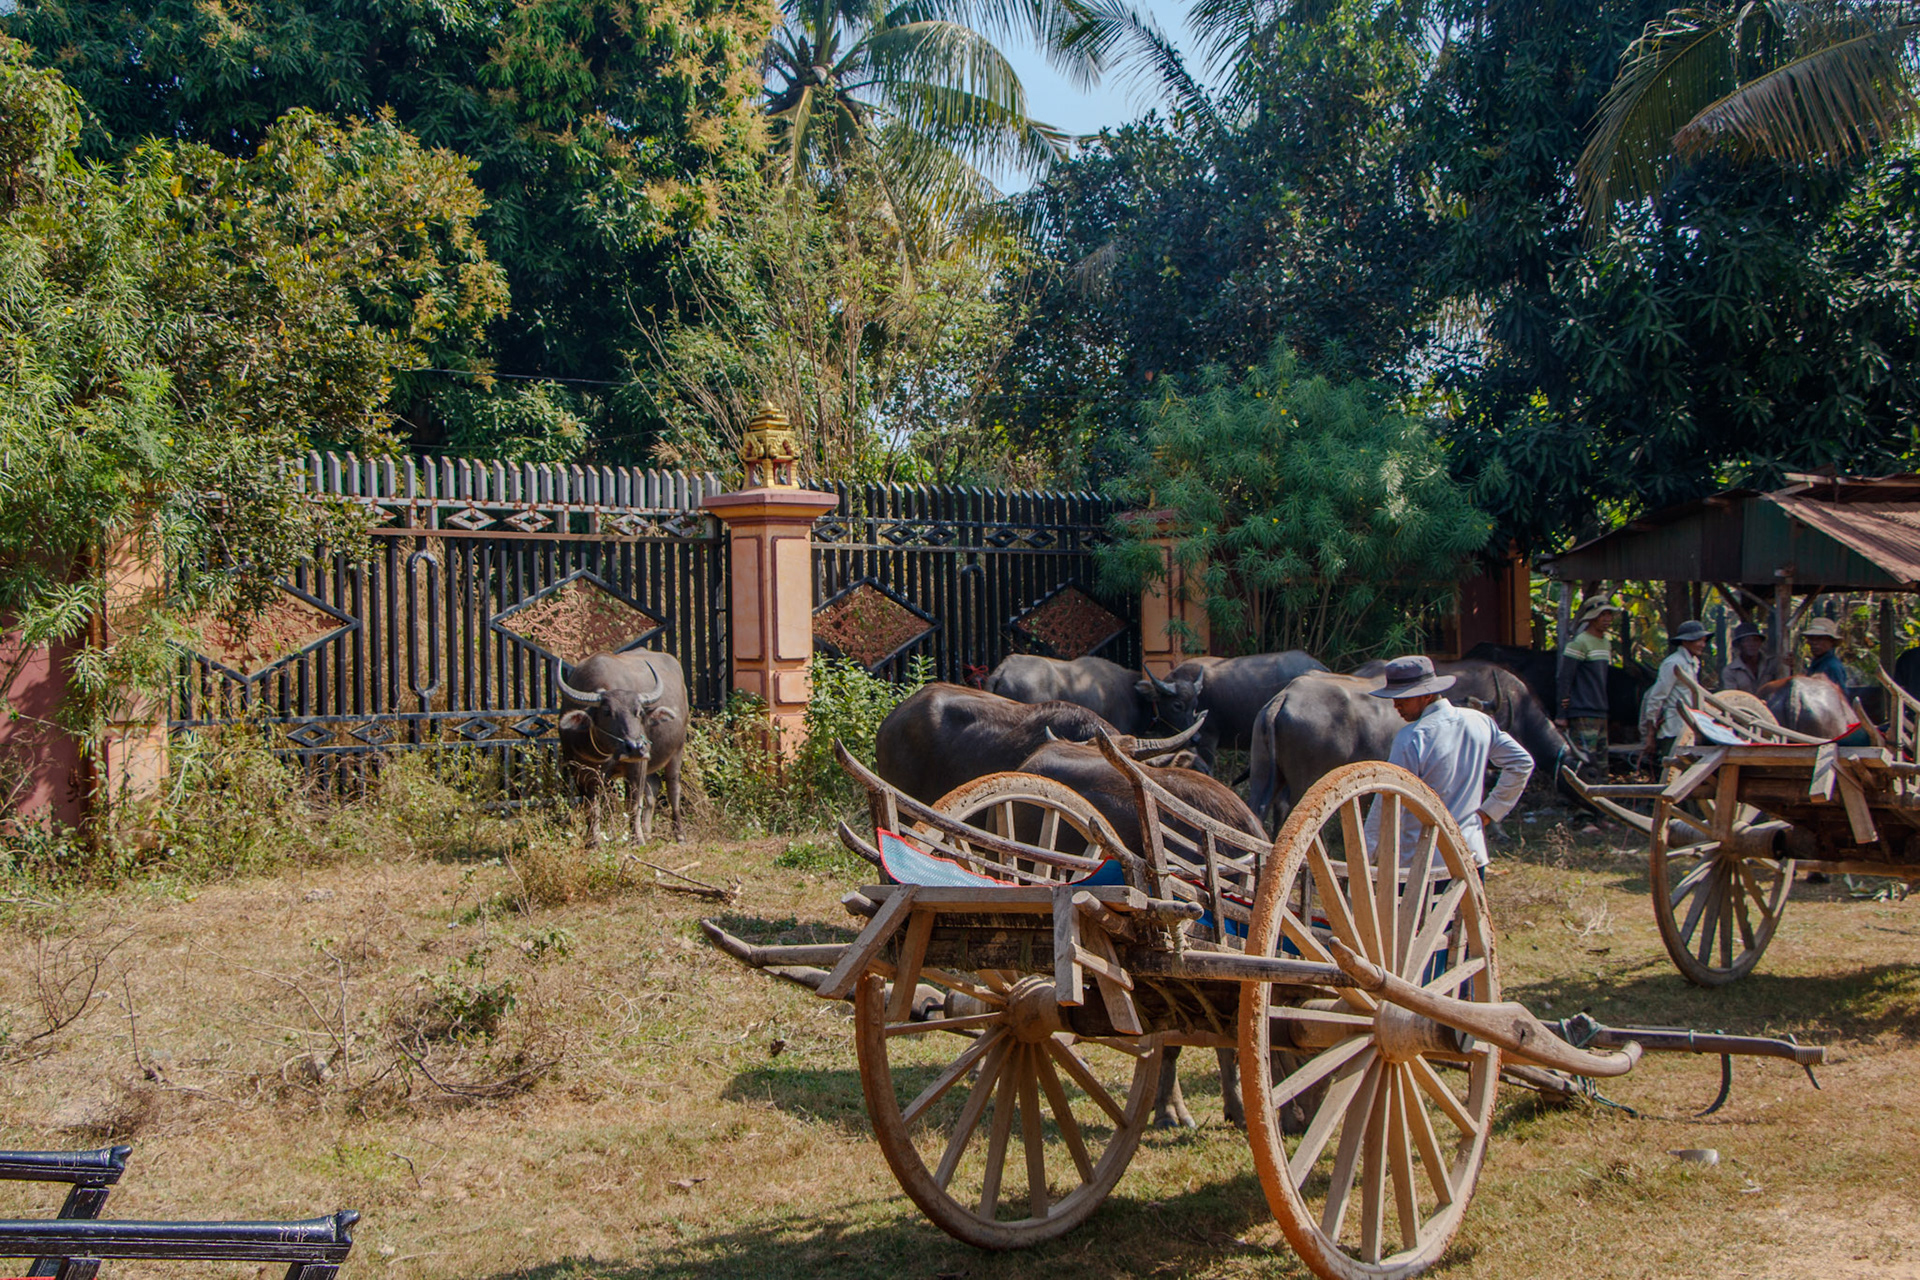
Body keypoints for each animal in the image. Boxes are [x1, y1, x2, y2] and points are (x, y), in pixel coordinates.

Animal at [556, 650, 689, 844]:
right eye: (607, 712)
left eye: (639, 712)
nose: (635, 747)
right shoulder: (579, 769)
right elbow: (593, 806)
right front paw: (593, 841)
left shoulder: (638, 765)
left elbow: (633, 803)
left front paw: (637, 839)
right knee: (653, 788)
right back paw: (648, 832)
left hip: (676, 750)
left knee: (673, 789)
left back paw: (679, 834)